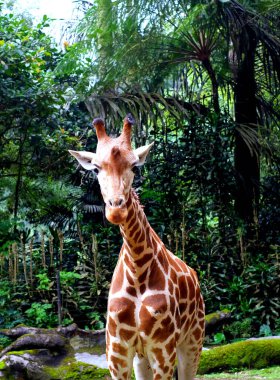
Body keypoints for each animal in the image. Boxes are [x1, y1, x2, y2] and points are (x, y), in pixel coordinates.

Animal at [69, 115, 205, 380]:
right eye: (96, 168)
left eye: (134, 167)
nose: (116, 209)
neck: (137, 268)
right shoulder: (117, 352)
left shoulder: (163, 350)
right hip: (142, 358)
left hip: (192, 340)